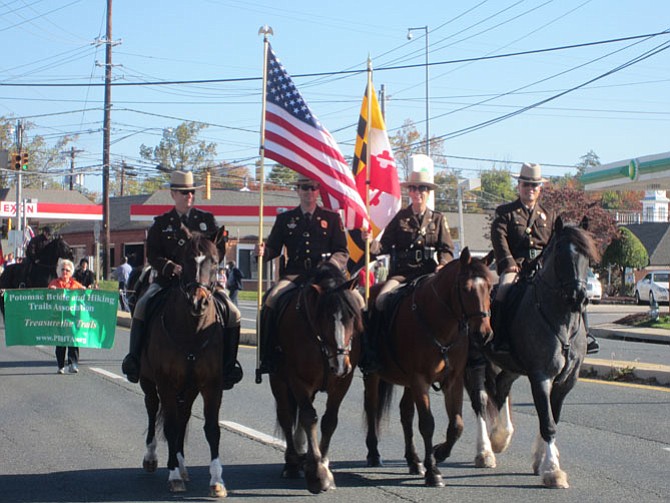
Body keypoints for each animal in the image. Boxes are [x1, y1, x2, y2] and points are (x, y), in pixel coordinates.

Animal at [138, 234, 228, 498]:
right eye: (184, 259)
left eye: (215, 261)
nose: (198, 302)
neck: (193, 332)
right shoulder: (166, 382)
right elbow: (169, 426)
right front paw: (174, 475)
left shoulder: (211, 384)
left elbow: (212, 429)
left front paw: (216, 480)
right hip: (149, 382)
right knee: (152, 409)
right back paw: (152, 457)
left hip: (189, 388)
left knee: (183, 417)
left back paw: (182, 463)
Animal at [268, 264, 364, 496]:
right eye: (324, 317)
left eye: (351, 316)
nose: (340, 365)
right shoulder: (297, 379)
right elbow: (309, 417)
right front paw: (317, 474)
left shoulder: (342, 383)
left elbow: (329, 421)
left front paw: (323, 463)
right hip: (278, 380)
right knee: (286, 416)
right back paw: (292, 463)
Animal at [364, 250, 496, 486]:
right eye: (465, 289)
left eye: (490, 287)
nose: (483, 334)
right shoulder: (420, 380)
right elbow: (427, 423)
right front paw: (433, 471)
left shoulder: (452, 380)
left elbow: (457, 425)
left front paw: (439, 453)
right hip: (373, 375)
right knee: (372, 407)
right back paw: (374, 453)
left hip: (407, 382)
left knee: (406, 413)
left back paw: (413, 460)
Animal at [464, 219, 600, 490]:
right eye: (559, 253)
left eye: (588, 255)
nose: (579, 296)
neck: (560, 318)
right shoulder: (541, 375)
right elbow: (547, 421)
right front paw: (553, 469)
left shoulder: (566, 380)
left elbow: (552, 416)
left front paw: (542, 459)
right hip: (475, 361)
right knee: (480, 401)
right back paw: (485, 451)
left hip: (509, 365)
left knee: (502, 389)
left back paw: (501, 436)